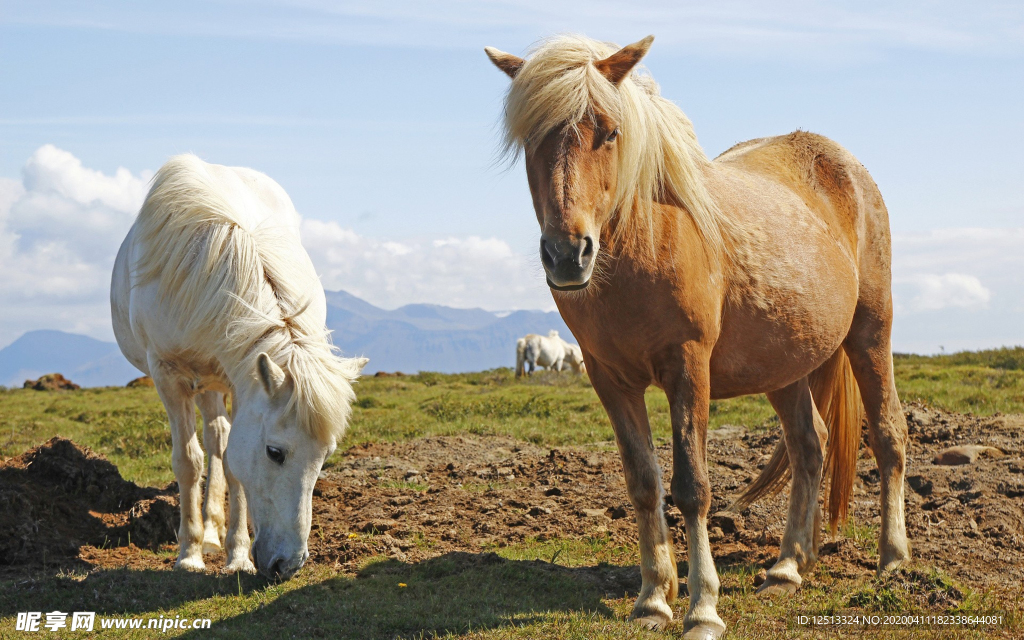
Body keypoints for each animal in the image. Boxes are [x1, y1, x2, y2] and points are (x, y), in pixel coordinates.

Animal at [110, 155, 366, 577]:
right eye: (275, 452)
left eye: (325, 456)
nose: (288, 564)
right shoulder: (168, 376)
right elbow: (188, 461)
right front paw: (189, 554)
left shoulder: (238, 379)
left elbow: (231, 461)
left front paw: (238, 556)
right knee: (211, 439)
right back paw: (206, 536)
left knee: (218, 438)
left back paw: (216, 532)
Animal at [487, 36, 913, 638]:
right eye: (530, 137)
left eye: (609, 131)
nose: (568, 255)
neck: (644, 242)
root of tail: (845, 166)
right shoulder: (609, 379)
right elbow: (644, 483)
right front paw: (652, 599)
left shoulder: (688, 367)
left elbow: (692, 487)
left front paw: (702, 607)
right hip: (784, 364)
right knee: (810, 446)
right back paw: (787, 566)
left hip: (870, 333)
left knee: (889, 433)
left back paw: (893, 559)